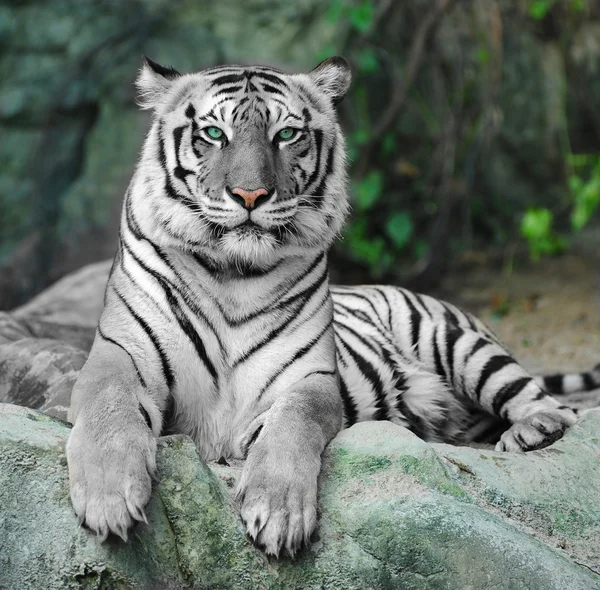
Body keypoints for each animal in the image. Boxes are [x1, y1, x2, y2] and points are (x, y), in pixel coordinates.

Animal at [65, 55, 596, 560]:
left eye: (286, 135)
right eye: (214, 134)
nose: (251, 195)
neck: (233, 275)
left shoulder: (309, 378)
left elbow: (291, 427)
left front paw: (279, 513)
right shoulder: (119, 354)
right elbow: (108, 408)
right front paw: (109, 498)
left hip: (456, 342)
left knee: (553, 404)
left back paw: (533, 431)